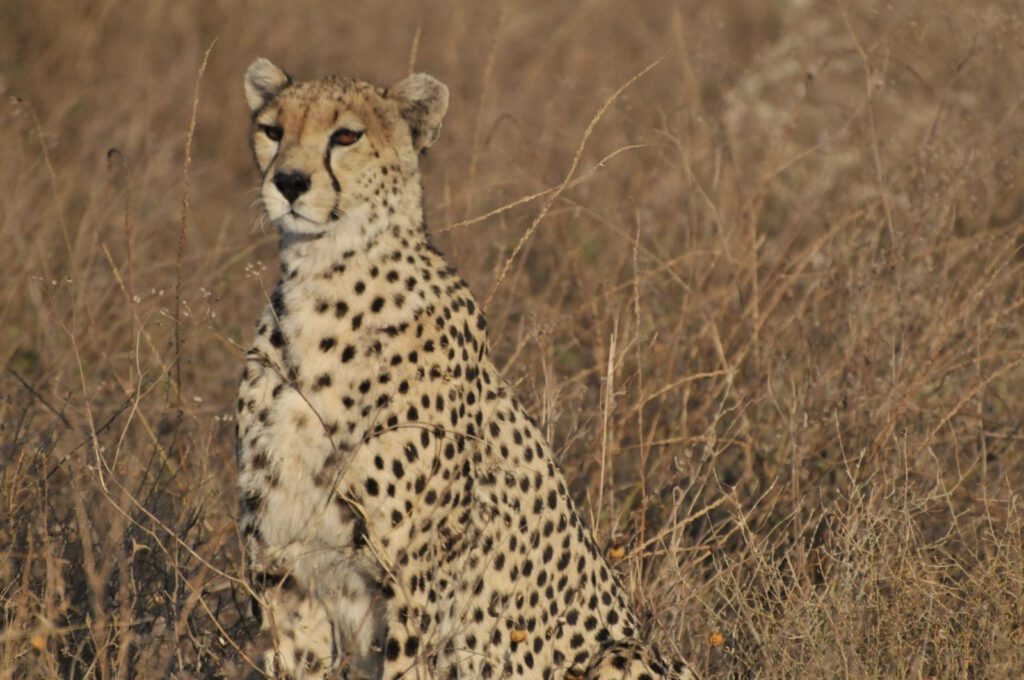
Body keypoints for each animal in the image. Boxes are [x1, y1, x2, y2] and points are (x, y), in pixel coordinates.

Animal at [235, 57, 695, 680]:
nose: (288, 183)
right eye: (273, 130)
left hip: (624, 652)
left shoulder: (410, 578)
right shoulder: (284, 569)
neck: (322, 278)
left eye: (346, 136)